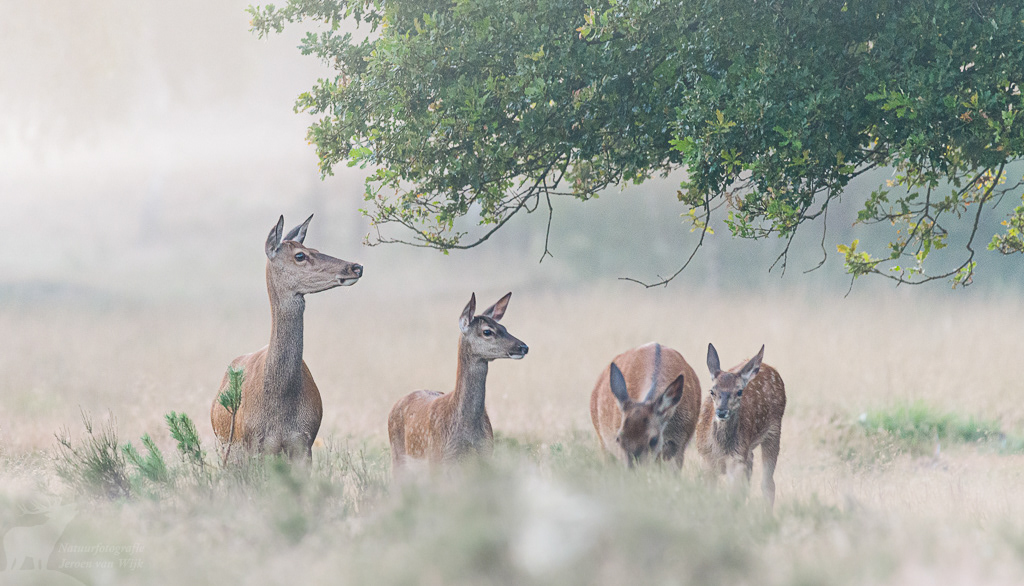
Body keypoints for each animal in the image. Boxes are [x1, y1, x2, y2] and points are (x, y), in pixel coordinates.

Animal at [210, 214, 363, 462]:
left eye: (315, 248)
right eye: (300, 255)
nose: (356, 266)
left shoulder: (304, 442)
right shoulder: (255, 445)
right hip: (228, 447)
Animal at [388, 292, 528, 472]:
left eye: (504, 327)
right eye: (487, 331)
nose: (523, 347)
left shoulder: (485, 453)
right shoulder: (438, 458)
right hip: (398, 456)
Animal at [695, 343, 786, 509]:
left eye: (739, 391)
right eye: (712, 391)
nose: (722, 411)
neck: (720, 448)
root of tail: (769, 367)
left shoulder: (736, 459)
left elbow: (733, 497)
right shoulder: (706, 458)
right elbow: (710, 495)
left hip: (774, 431)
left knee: (768, 484)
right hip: (748, 450)